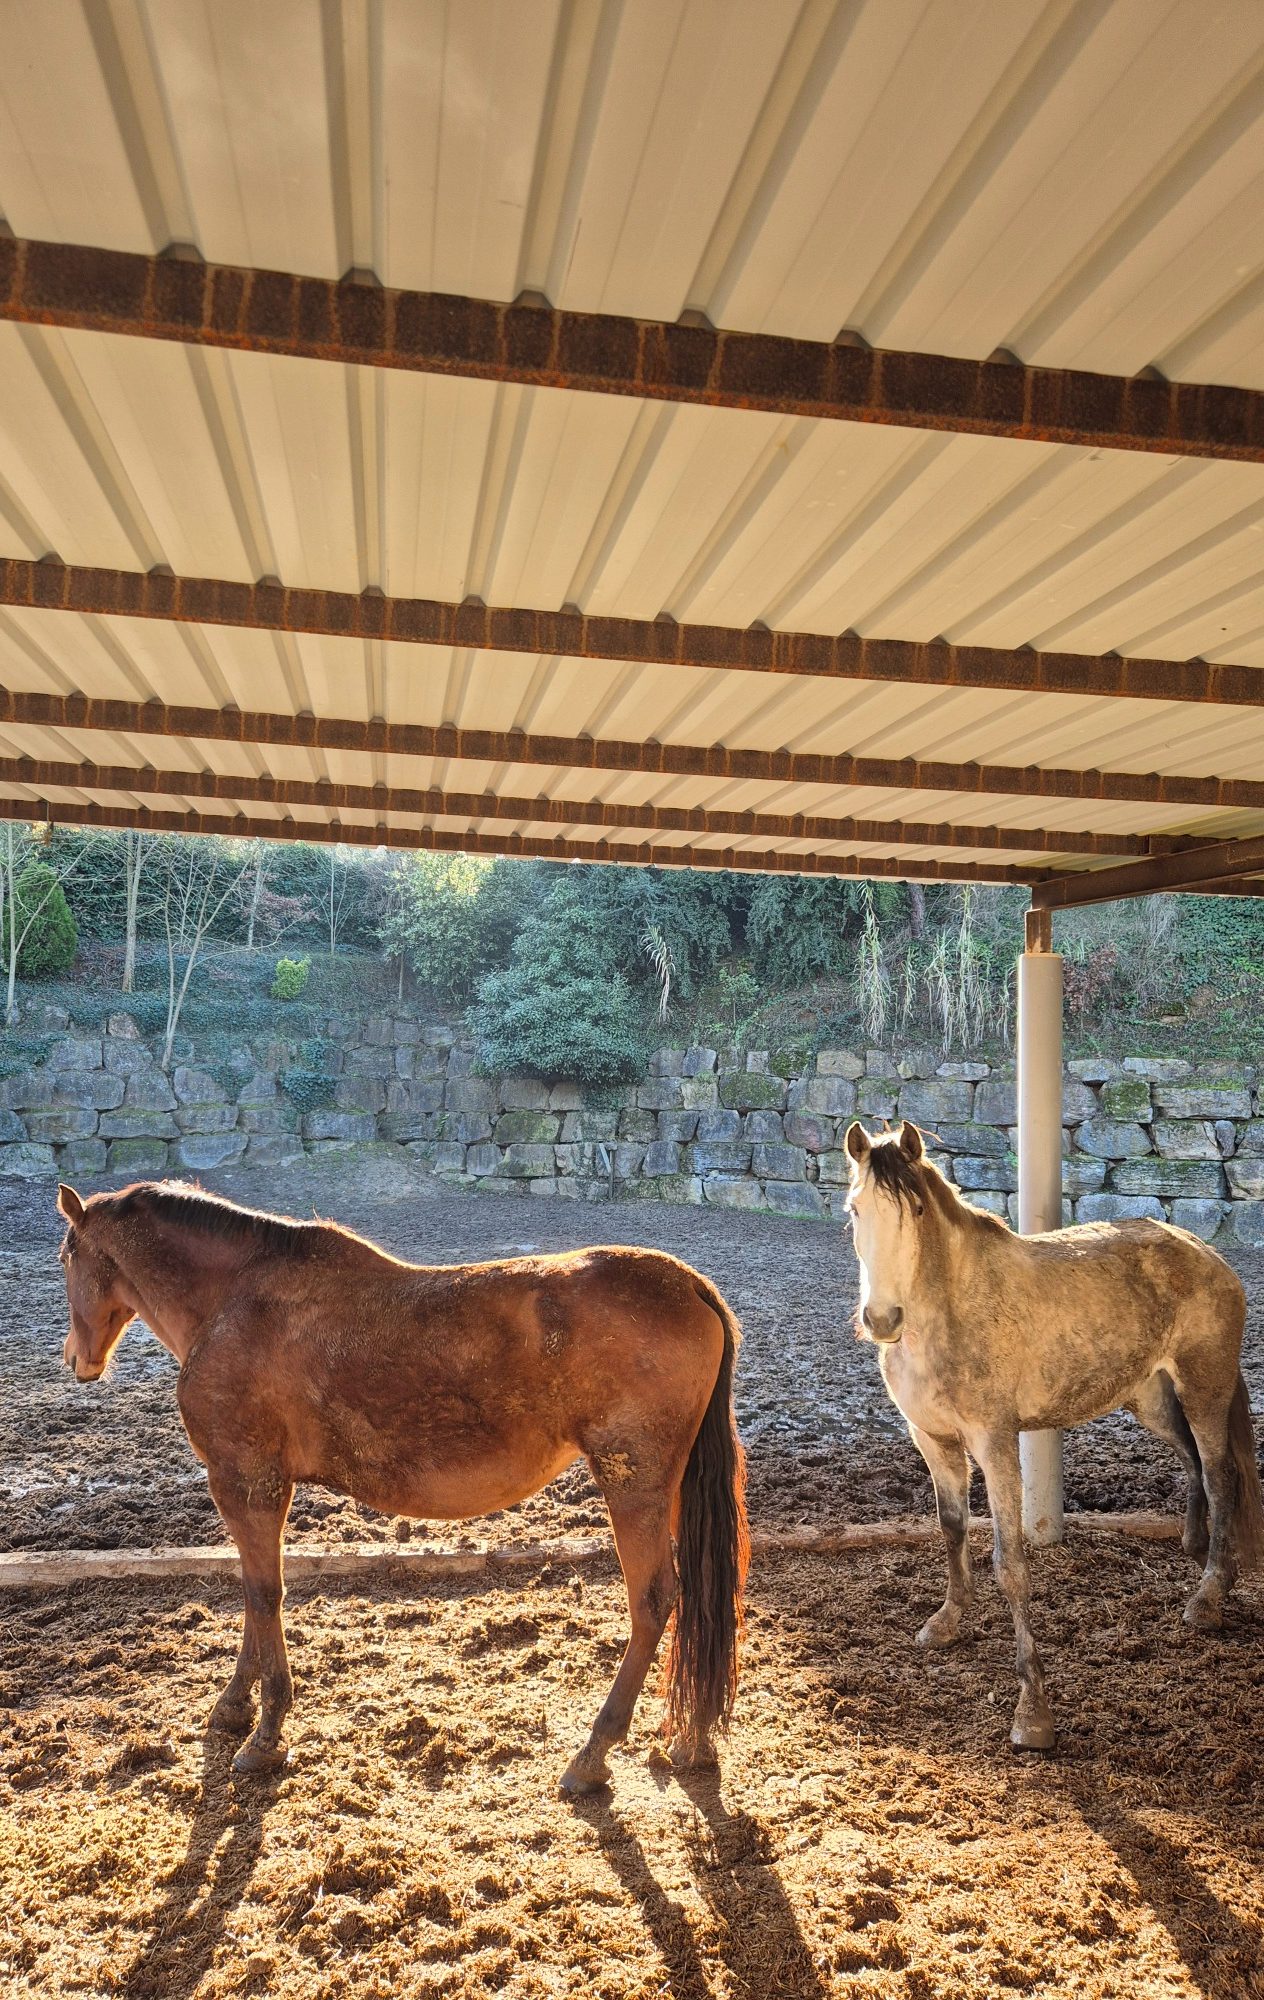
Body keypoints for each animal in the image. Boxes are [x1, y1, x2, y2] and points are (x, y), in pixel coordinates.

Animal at [55, 1179, 748, 1794]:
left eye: (67, 1257)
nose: (76, 1358)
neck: (235, 1300)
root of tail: (688, 1286)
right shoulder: (252, 1485)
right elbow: (256, 1597)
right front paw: (234, 1707)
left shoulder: (247, 1482)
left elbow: (263, 1594)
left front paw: (266, 1732)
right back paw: (693, 1740)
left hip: (634, 1483)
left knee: (654, 1600)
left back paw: (593, 1753)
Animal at [843, 1120, 1264, 1752]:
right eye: (854, 1209)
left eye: (915, 1209)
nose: (882, 1320)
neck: (948, 1311)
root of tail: (1206, 1252)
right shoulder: (933, 1440)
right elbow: (951, 1529)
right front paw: (947, 1620)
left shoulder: (994, 1444)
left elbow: (1011, 1564)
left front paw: (1032, 1713)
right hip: (1151, 1398)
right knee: (1193, 1462)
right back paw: (1196, 1549)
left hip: (1203, 1390)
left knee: (1220, 1475)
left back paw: (1208, 1597)